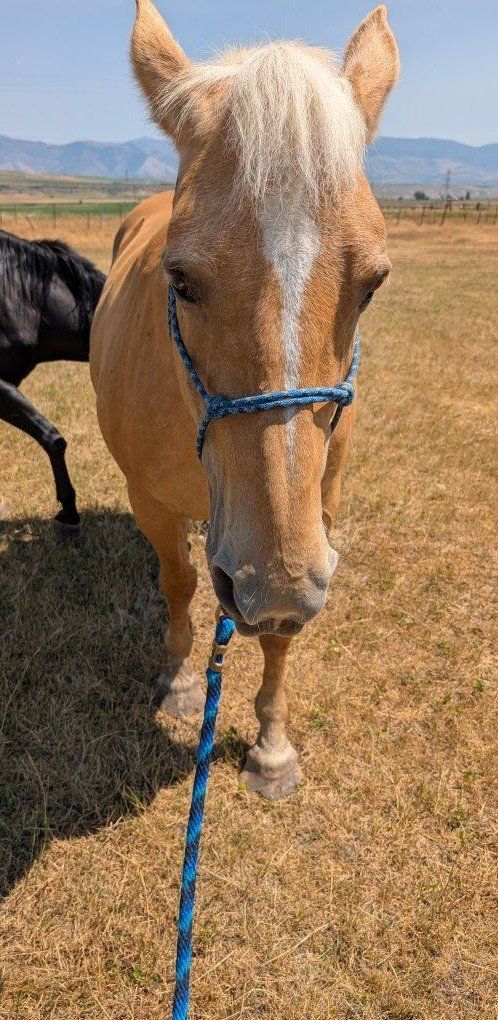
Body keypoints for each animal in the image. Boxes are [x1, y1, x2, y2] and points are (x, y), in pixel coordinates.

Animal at [91, 1, 400, 799]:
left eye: (372, 284)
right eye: (181, 279)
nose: (274, 583)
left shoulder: (317, 515)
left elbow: (282, 640)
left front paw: (272, 744)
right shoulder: (151, 500)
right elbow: (178, 580)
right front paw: (176, 682)